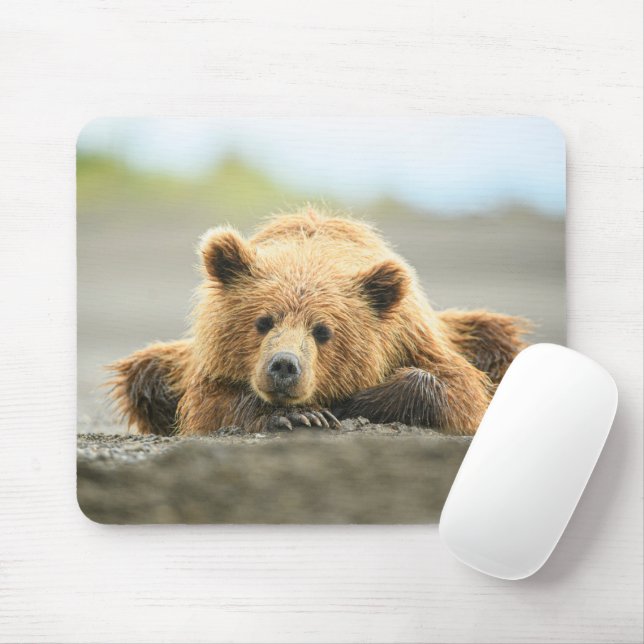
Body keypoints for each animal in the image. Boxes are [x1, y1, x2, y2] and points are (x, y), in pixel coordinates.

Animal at [108, 208, 530, 437]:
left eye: (323, 330)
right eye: (263, 321)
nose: (284, 365)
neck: (312, 253)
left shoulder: (413, 337)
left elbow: (458, 390)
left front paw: (348, 403)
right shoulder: (207, 365)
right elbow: (208, 406)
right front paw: (300, 414)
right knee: (145, 373)